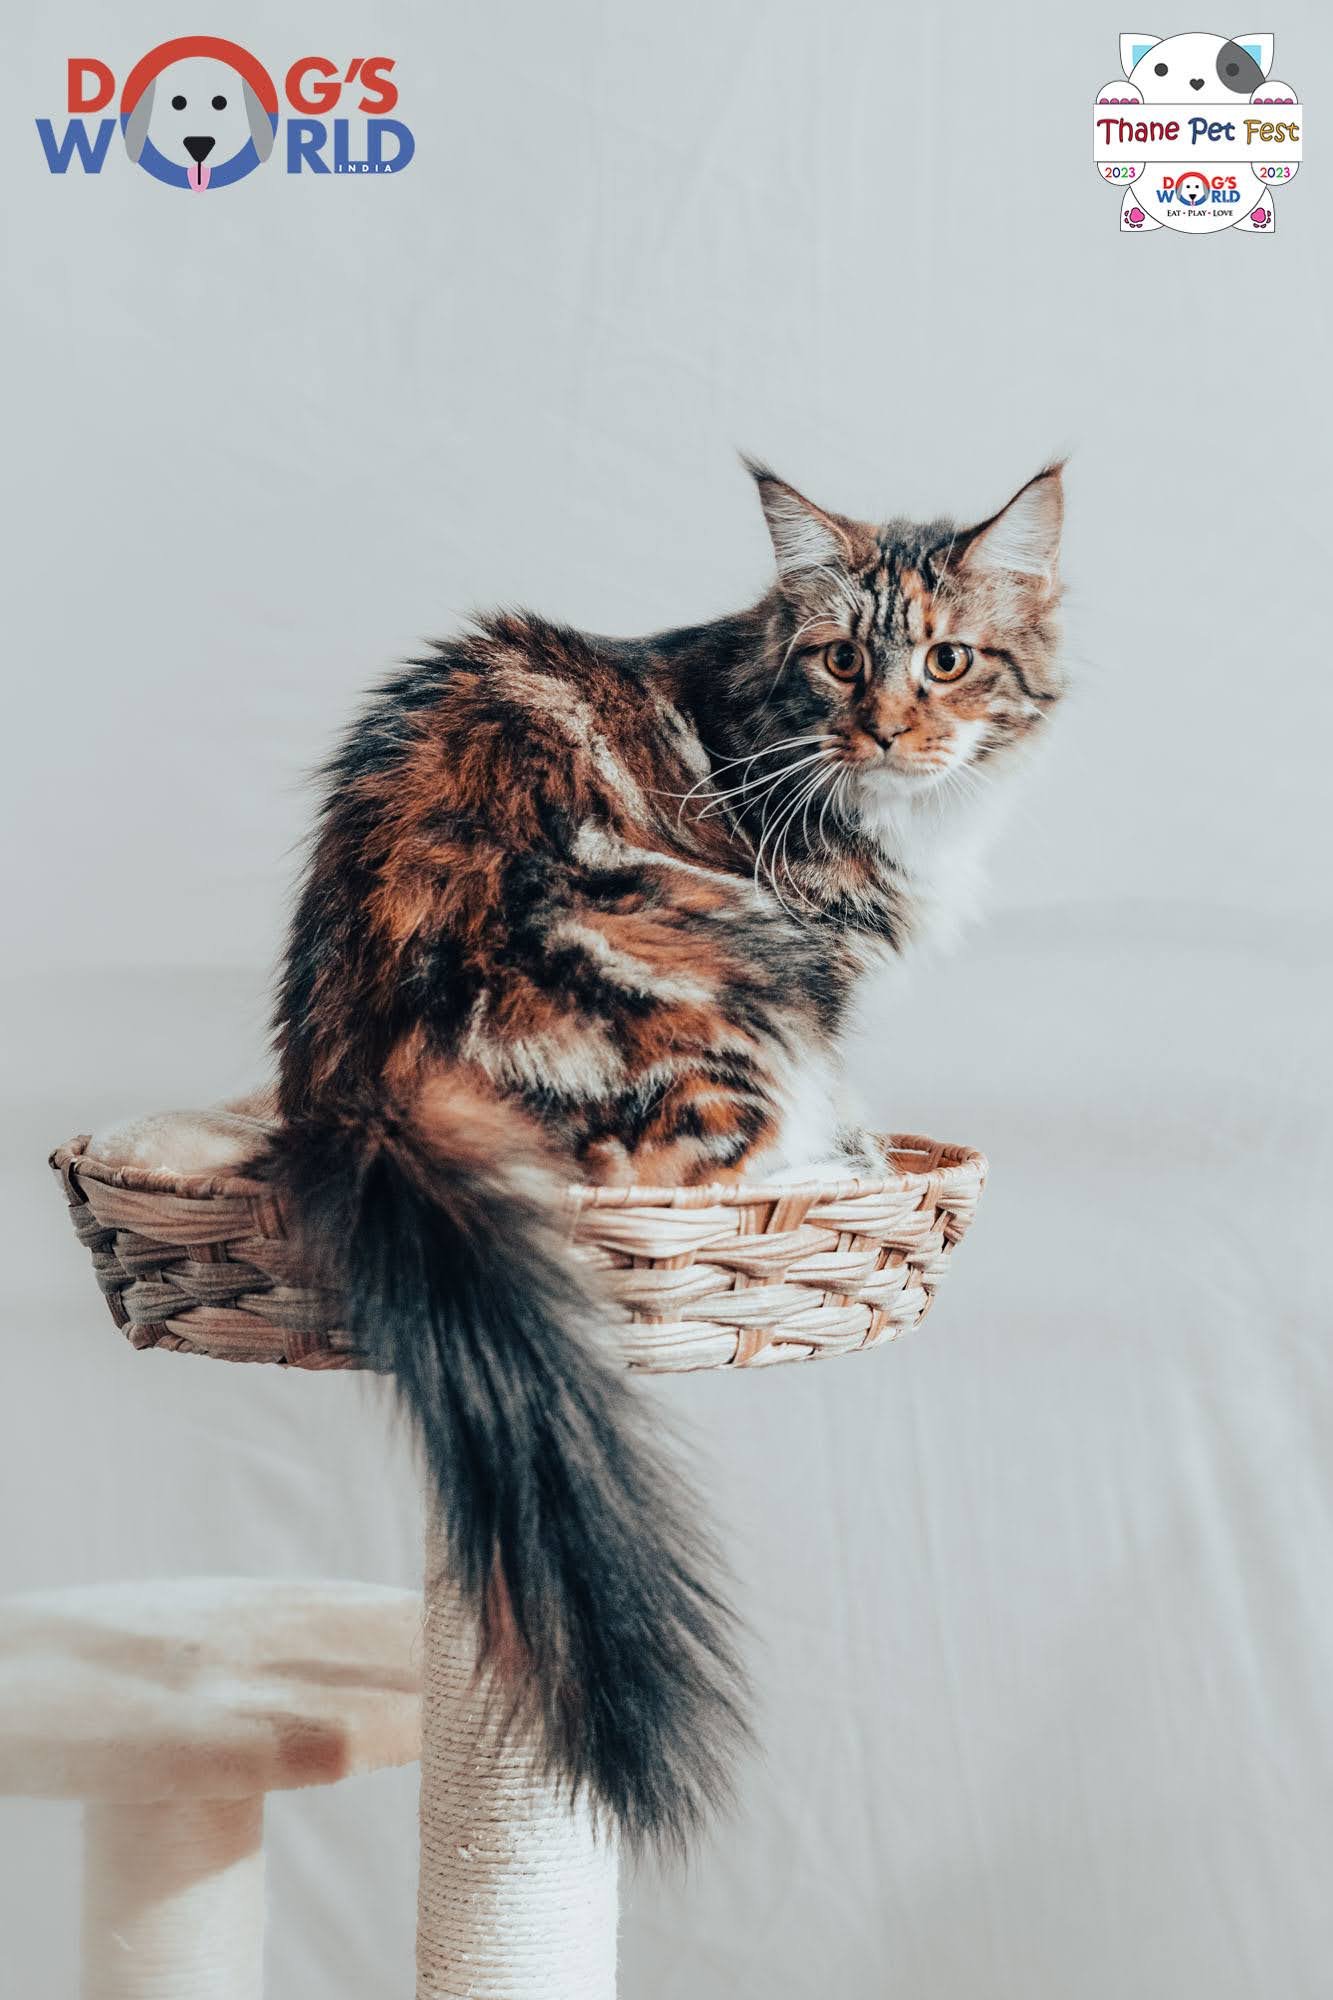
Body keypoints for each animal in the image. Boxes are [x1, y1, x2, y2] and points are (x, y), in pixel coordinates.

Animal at [260, 458, 1065, 1850]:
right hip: (724, 974)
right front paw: (868, 1151)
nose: (887, 729)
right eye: (842, 660)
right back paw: (840, 1166)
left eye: (949, 659)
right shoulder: (820, 951)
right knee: (667, 1169)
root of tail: (358, 1072)